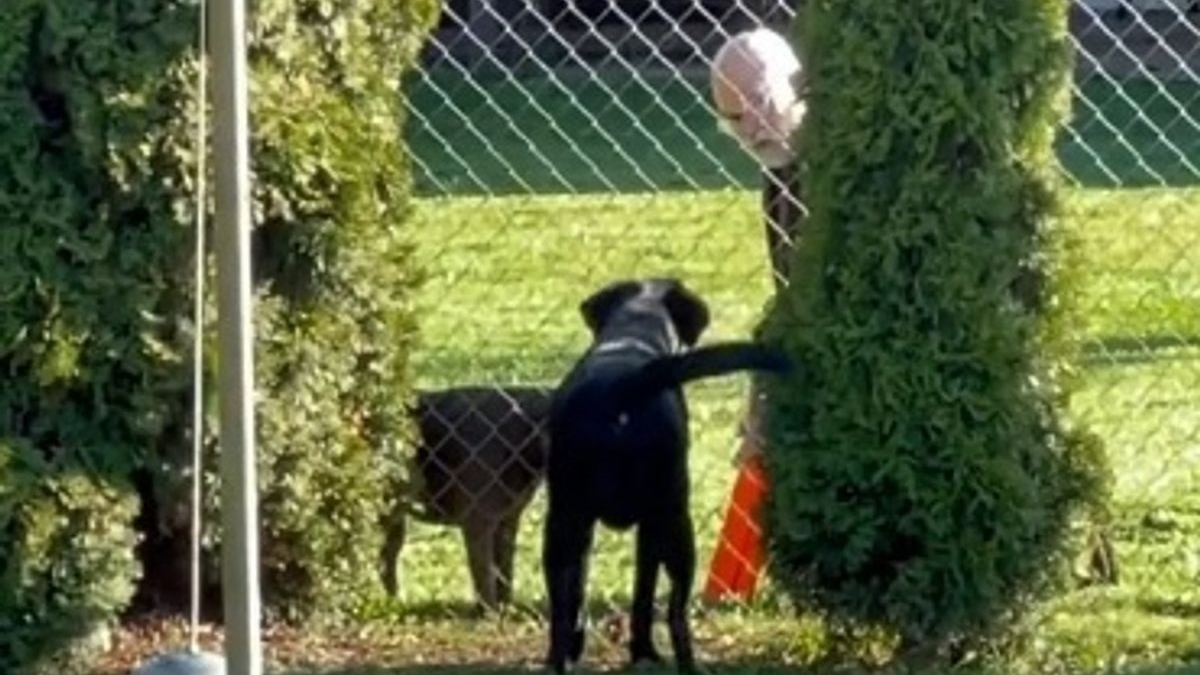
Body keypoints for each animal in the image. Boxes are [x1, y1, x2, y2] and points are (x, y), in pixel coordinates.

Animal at [381, 384, 554, 610]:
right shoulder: (478, 522)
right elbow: (485, 575)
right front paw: (489, 613)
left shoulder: (507, 520)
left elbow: (504, 572)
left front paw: (506, 609)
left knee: (387, 559)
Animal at [542, 276, 787, 667]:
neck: (633, 334)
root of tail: (621, 387)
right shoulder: (652, 526)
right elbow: (645, 592)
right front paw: (643, 649)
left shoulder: (589, 526)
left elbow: (581, 592)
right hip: (675, 524)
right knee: (676, 613)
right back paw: (685, 661)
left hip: (563, 525)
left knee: (561, 611)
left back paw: (558, 659)